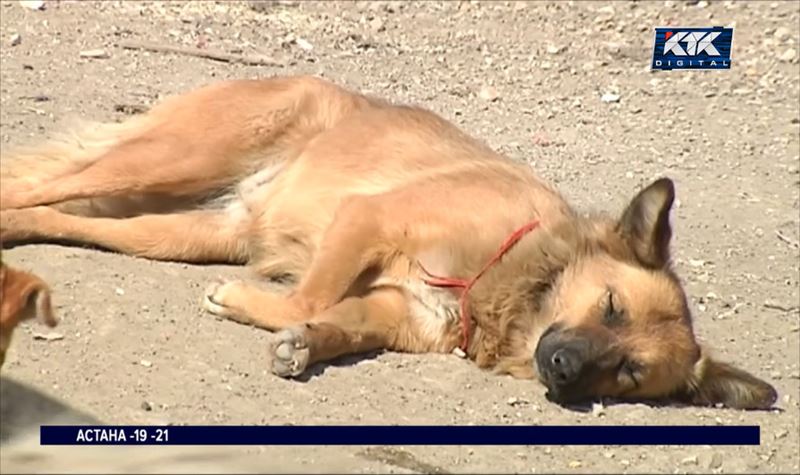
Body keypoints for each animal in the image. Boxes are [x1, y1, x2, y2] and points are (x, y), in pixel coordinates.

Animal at [0, 74, 776, 410]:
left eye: (630, 374)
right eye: (611, 305)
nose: (560, 366)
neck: (514, 284)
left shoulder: (394, 314)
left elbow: (335, 320)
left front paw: (305, 343)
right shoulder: (367, 220)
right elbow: (308, 293)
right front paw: (268, 312)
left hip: (182, 231)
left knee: (64, 215)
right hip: (174, 158)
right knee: (35, 185)